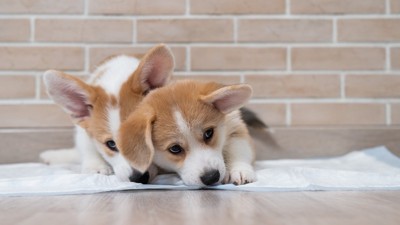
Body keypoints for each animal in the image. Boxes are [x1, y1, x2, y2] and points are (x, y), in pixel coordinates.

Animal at [118, 80, 256, 185]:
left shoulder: (234, 126)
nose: (211, 177)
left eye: (208, 133)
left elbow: (238, 150)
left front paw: (238, 170)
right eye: (175, 149)